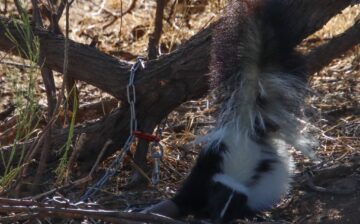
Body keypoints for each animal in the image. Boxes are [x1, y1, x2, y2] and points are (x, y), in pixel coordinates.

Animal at [169, 0, 316, 222]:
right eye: (218, 199)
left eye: (232, 207)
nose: (217, 218)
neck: (237, 170)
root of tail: (252, 127)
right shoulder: (208, 166)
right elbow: (189, 194)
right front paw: (178, 206)